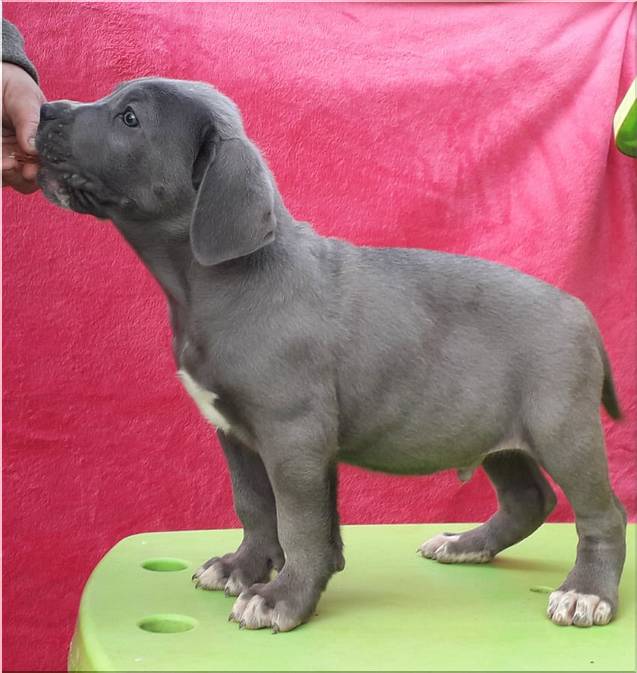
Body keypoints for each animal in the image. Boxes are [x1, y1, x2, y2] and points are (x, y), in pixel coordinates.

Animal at [35, 78, 626, 633]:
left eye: (130, 118)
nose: (43, 111)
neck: (218, 282)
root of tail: (581, 310)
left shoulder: (293, 435)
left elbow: (299, 522)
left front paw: (283, 598)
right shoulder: (238, 434)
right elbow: (255, 506)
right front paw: (244, 567)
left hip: (561, 428)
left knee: (604, 514)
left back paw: (586, 592)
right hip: (494, 432)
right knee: (529, 498)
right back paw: (466, 544)